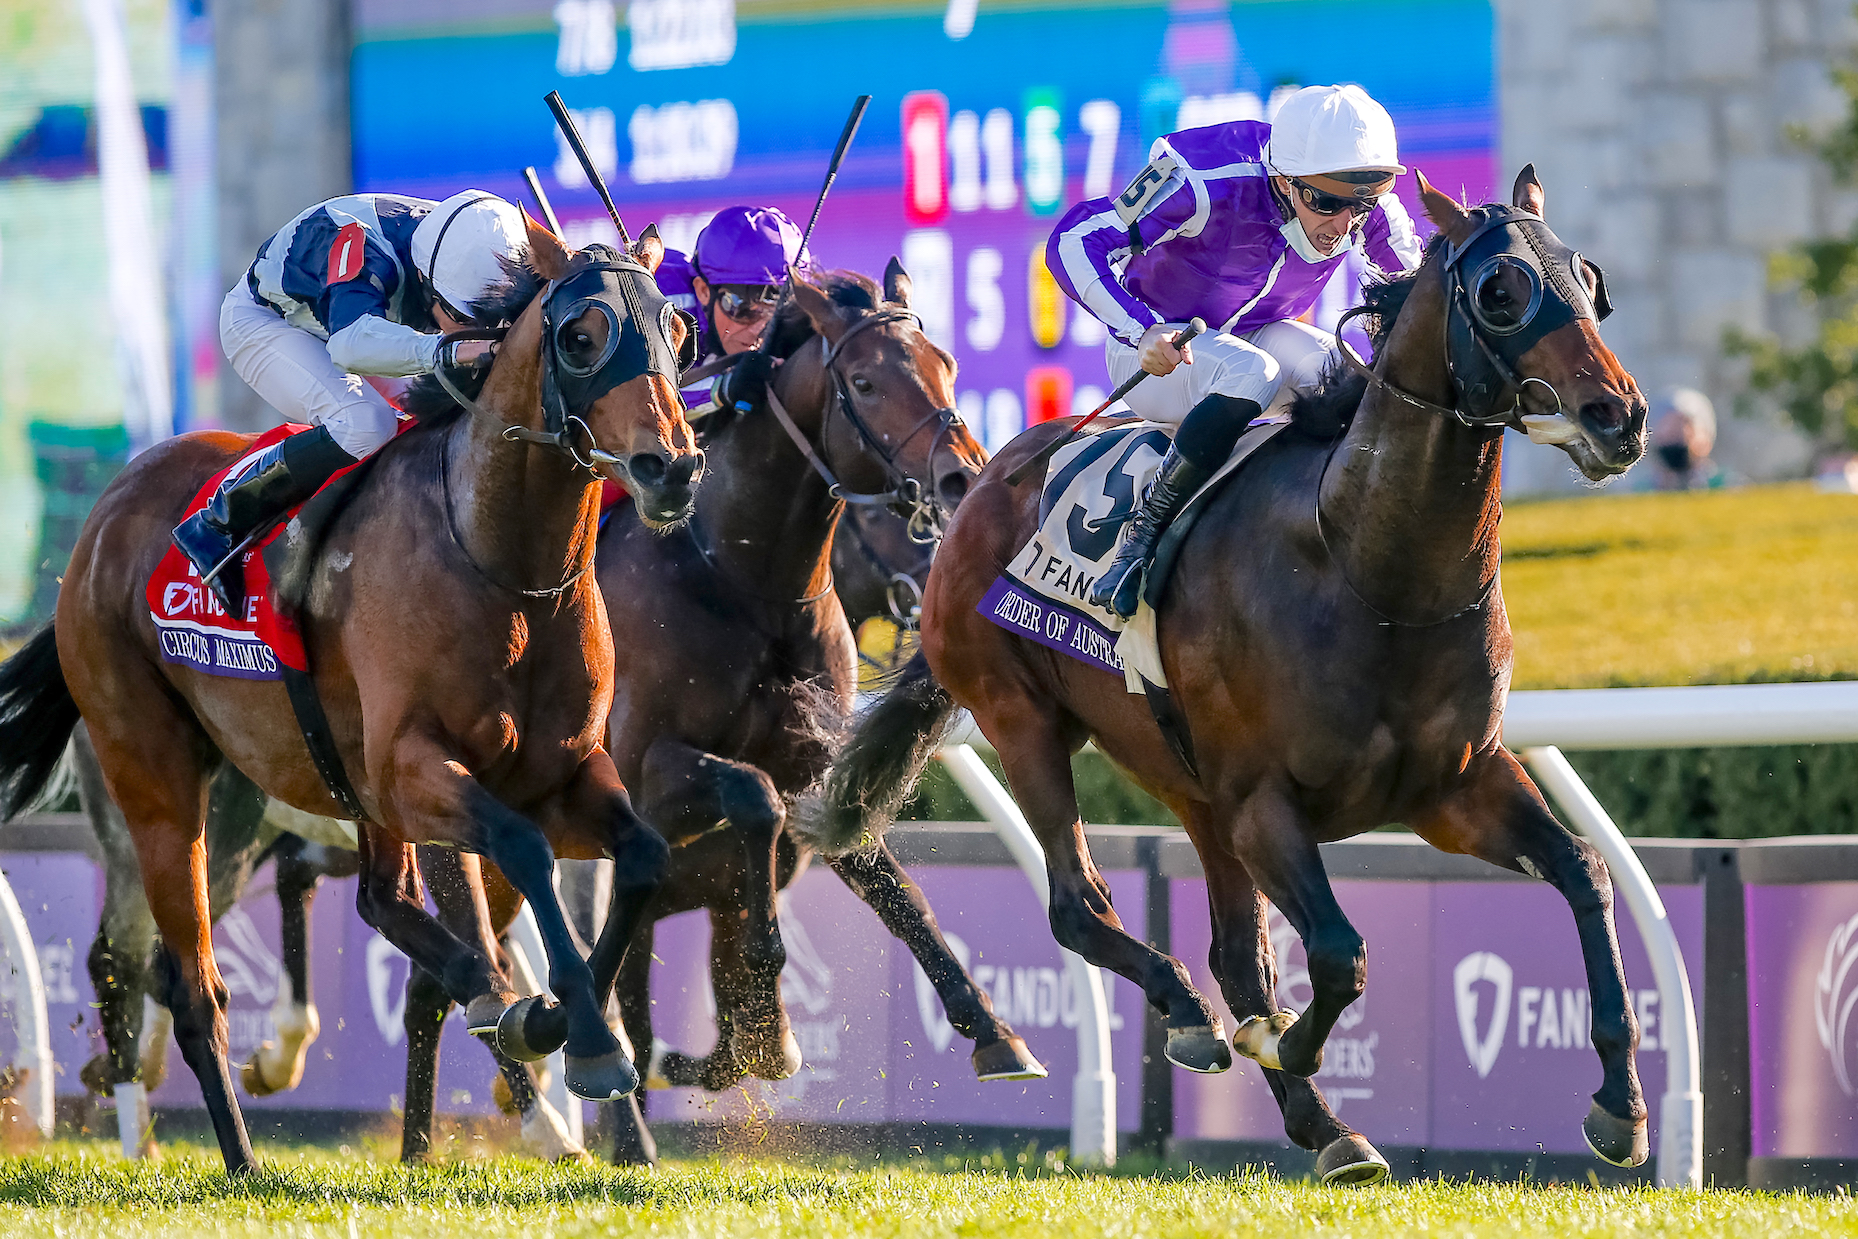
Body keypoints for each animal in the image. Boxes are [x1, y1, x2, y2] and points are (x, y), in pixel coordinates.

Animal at [0, 218, 702, 1181]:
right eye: (582, 335)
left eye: (678, 330)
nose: (671, 467)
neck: (504, 564)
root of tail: (103, 518)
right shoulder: (418, 766)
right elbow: (523, 850)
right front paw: (584, 1039)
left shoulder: (563, 770)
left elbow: (641, 856)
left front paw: (557, 1015)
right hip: (160, 781)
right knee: (188, 984)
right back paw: (242, 1157)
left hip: (316, 789)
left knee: (378, 898)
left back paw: (480, 994)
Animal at [821, 167, 1649, 1181]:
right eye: (1502, 290)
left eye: (1588, 277)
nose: (1618, 415)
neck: (1369, 571)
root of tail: (979, 482)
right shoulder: (1264, 800)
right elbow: (1337, 952)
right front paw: (1286, 1040)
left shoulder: (1455, 784)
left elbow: (1584, 871)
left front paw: (1621, 1106)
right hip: (1025, 723)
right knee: (1079, 906)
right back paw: (1191, 1019)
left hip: (1188, 782)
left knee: (1230, 953)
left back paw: (1326, 1126)